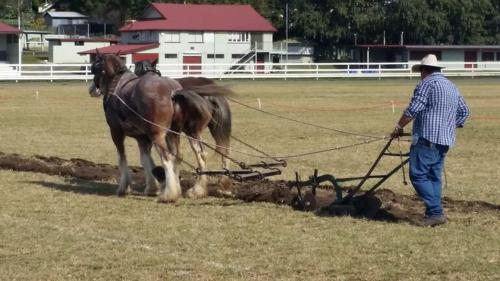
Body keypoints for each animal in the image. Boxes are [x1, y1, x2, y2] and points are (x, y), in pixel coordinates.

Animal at [89, 53, 229, 200]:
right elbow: (146, 160)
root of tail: (173, 92)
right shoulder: (143, 137)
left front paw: (124, 188)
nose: (92, 90)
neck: (117, 85)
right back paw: (200, 189)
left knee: (168, 157)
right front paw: (153, 187)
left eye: (95, 68)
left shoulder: (116, 132)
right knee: (197, 154)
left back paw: (169, 194)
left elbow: (122, 158)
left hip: (165, 134)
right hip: (179, 131)